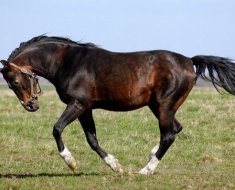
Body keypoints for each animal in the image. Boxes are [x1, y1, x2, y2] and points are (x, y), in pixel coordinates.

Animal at [0, 35, 235, 175]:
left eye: (15, 82)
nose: (30, 106)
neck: (67, 62)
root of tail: (189, 60)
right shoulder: (86, 108)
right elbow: (92, 140)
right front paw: (116, 166)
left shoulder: (78, 104)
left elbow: (57, 129)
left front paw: (71, 162)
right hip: (159, 106)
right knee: (176, 129)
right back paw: (149, 158)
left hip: (164, 106)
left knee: (168, 135)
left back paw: (146, 169)